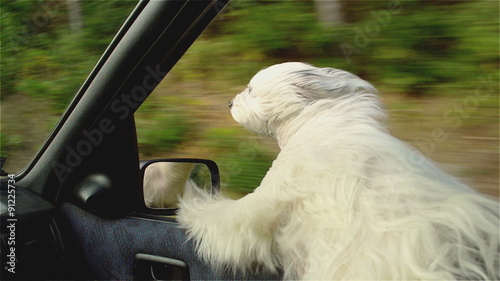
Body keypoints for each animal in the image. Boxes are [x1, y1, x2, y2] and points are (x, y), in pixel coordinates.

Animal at [178, 62, 498, 278]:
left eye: (251, 89)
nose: (230, 102)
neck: (320, 125)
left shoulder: (268, 199)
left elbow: (224, 218)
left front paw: (191, 202)